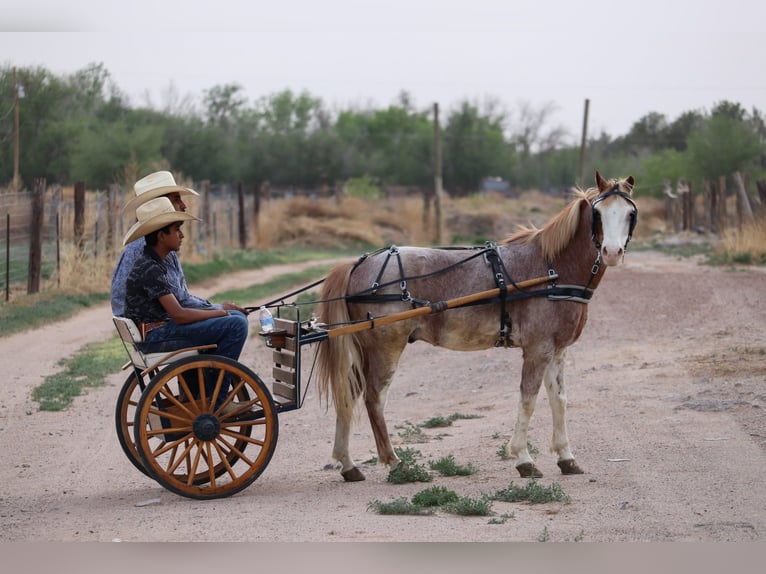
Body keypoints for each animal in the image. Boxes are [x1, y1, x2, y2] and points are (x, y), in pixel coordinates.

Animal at [316, 170, 637, 481]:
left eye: (630, 213)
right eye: (598, 213)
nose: (611, 252)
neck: (552, 269)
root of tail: (358, 265)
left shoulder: (557, 351)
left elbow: (559, 400)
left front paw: (566, 457)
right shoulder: (538, 349)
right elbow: (528, 400)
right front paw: (524, 459)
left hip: (364, 350)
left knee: (349, 394)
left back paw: (348, 465)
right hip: (386, 347)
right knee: (374, 398)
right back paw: (395, 463)